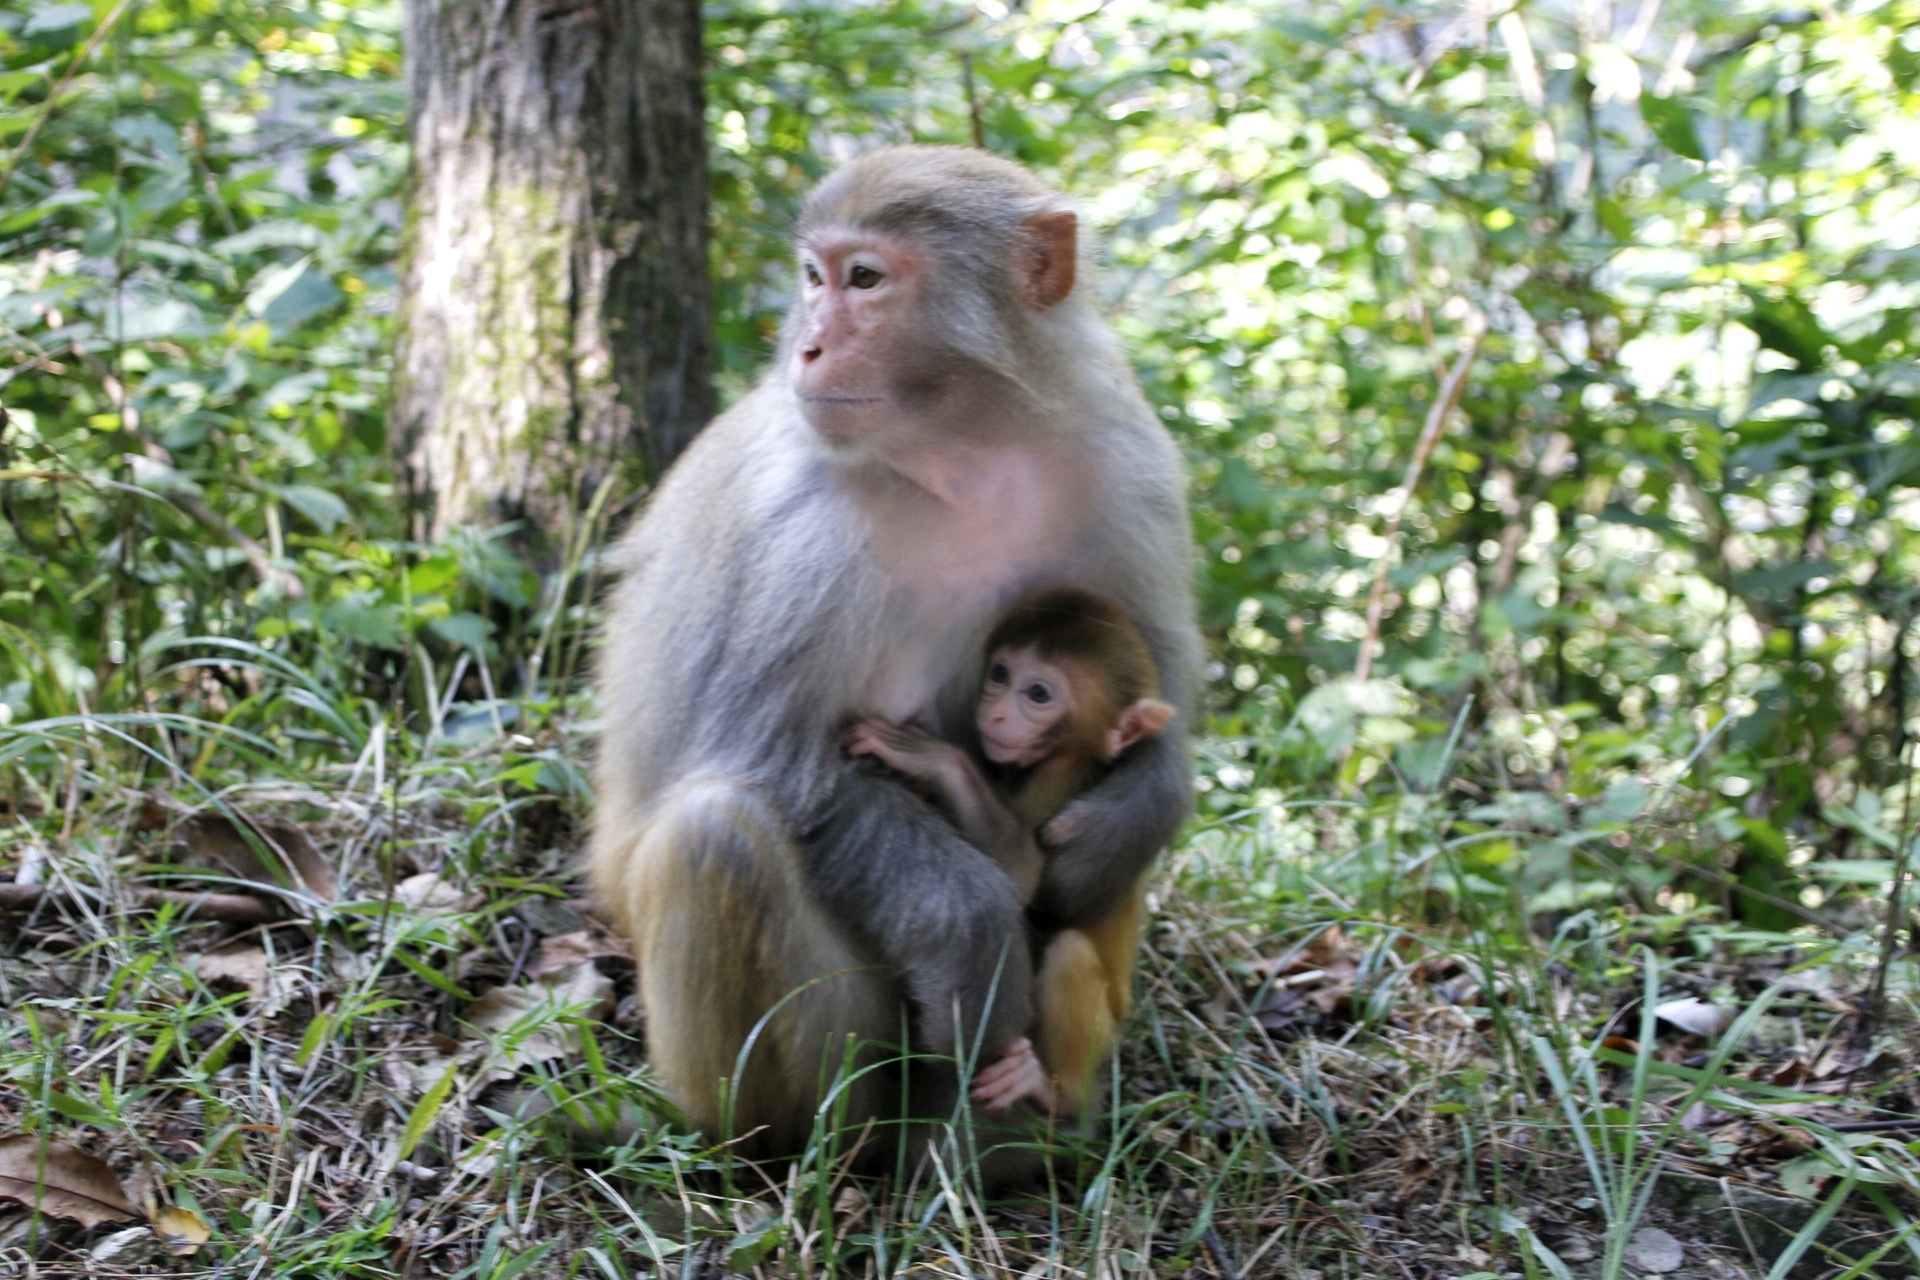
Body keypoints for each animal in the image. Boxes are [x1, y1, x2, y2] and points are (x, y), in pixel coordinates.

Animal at [852, 587, 1175, 1113]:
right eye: (1001, 673)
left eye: (1038, 694)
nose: (996, 712)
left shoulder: (1060, 776)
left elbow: (1026, 878)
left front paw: (936, 761)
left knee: (1067, 953)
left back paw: (1054, 1093)